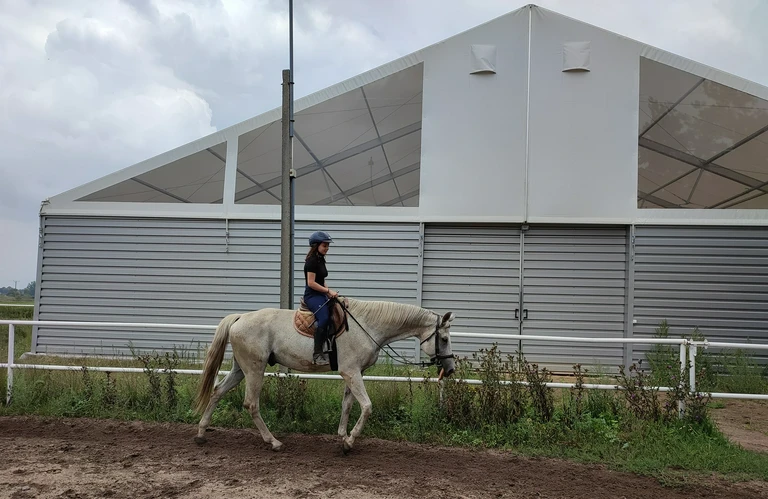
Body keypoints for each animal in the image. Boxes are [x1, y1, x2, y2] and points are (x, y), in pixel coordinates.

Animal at [195, 298, 456, 456]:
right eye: (444, 339)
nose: (451, 368)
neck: (368, 326)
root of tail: (240, 317)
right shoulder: (351, 372)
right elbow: (367, 407)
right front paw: (349, 442)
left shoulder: (355, 373)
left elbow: (348, 405)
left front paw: (343, 437)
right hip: (254, 370)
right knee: (251, 404)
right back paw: (274, 442)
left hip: (241, 369)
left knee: (217, 392)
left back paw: (200, 433)